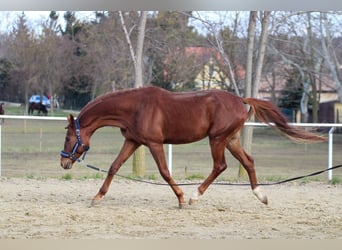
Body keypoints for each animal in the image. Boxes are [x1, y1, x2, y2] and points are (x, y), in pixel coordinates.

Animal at [60, 86, 324, 207]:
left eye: (68, 139)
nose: (63, 162)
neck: (136, 107)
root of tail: (241, 100)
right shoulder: (133, 141)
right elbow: (114, 167)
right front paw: (97, 197)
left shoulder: (154, 143)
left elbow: (165, 172)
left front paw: (179, 197)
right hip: (231, 140)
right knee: (248, 161)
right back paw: (261, 195)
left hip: (217, 139)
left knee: (220, 166)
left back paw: (194, 196)